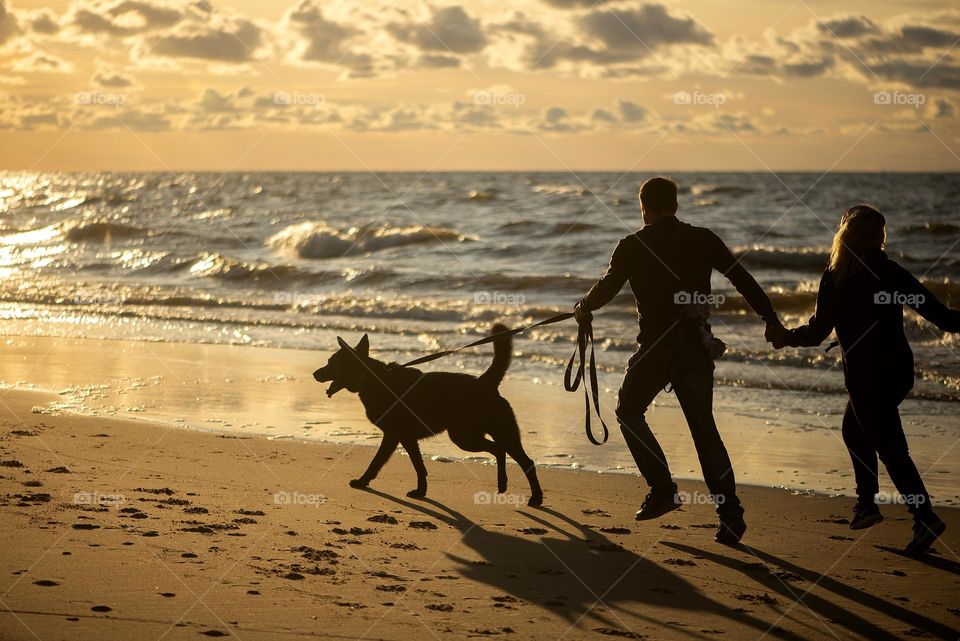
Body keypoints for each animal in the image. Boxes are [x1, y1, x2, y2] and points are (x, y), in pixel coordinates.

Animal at [314, 324, 540, 504]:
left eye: (332, 362)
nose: (315, 373)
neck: (372, 378)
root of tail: (485, 382)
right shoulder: (400, 437)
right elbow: (409, 465)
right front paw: (419, 491)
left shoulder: (398, 436)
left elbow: (390, 463)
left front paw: (365, 482)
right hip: (473, 435)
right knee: (501, 451)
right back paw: (503, 483)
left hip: (472, 436)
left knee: (522, 460)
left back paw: (535, 498)